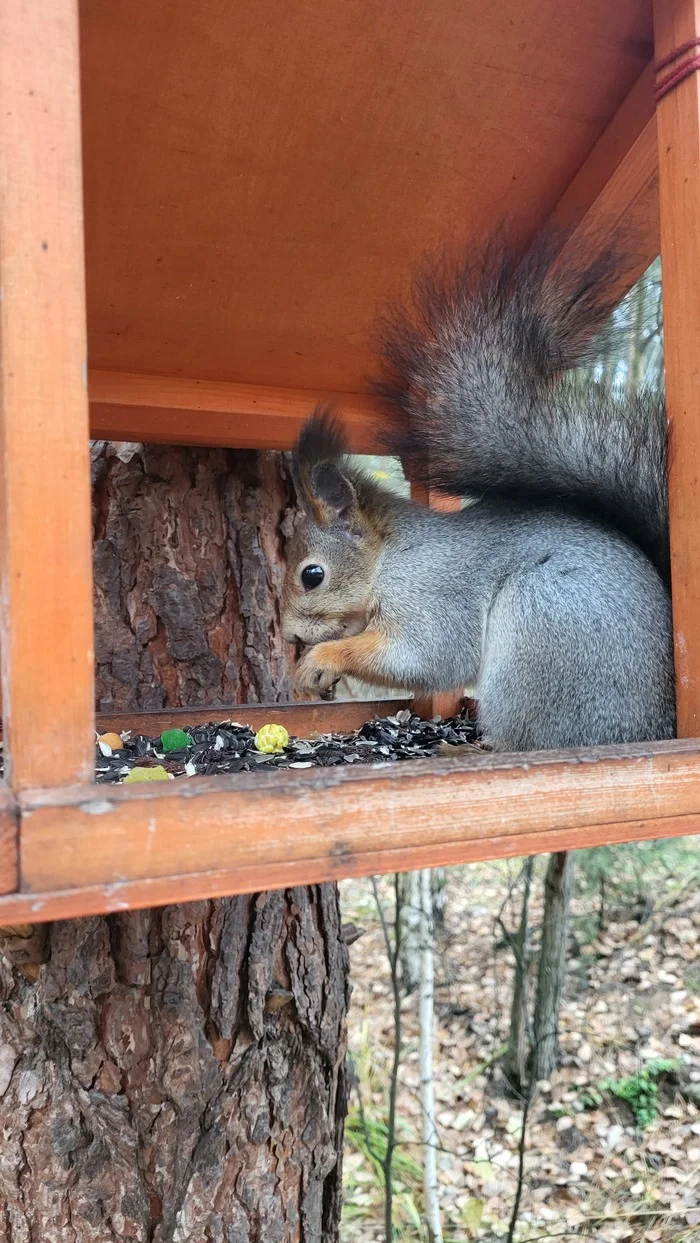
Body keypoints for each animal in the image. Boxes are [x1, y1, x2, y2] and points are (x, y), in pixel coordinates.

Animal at [282, 238, 676, 750]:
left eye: (313, 575)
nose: (291, 637)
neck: (391, 557)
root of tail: (657, 727)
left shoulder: (434, 592)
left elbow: (424, 655)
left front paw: (323, 659)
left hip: (543, 621)